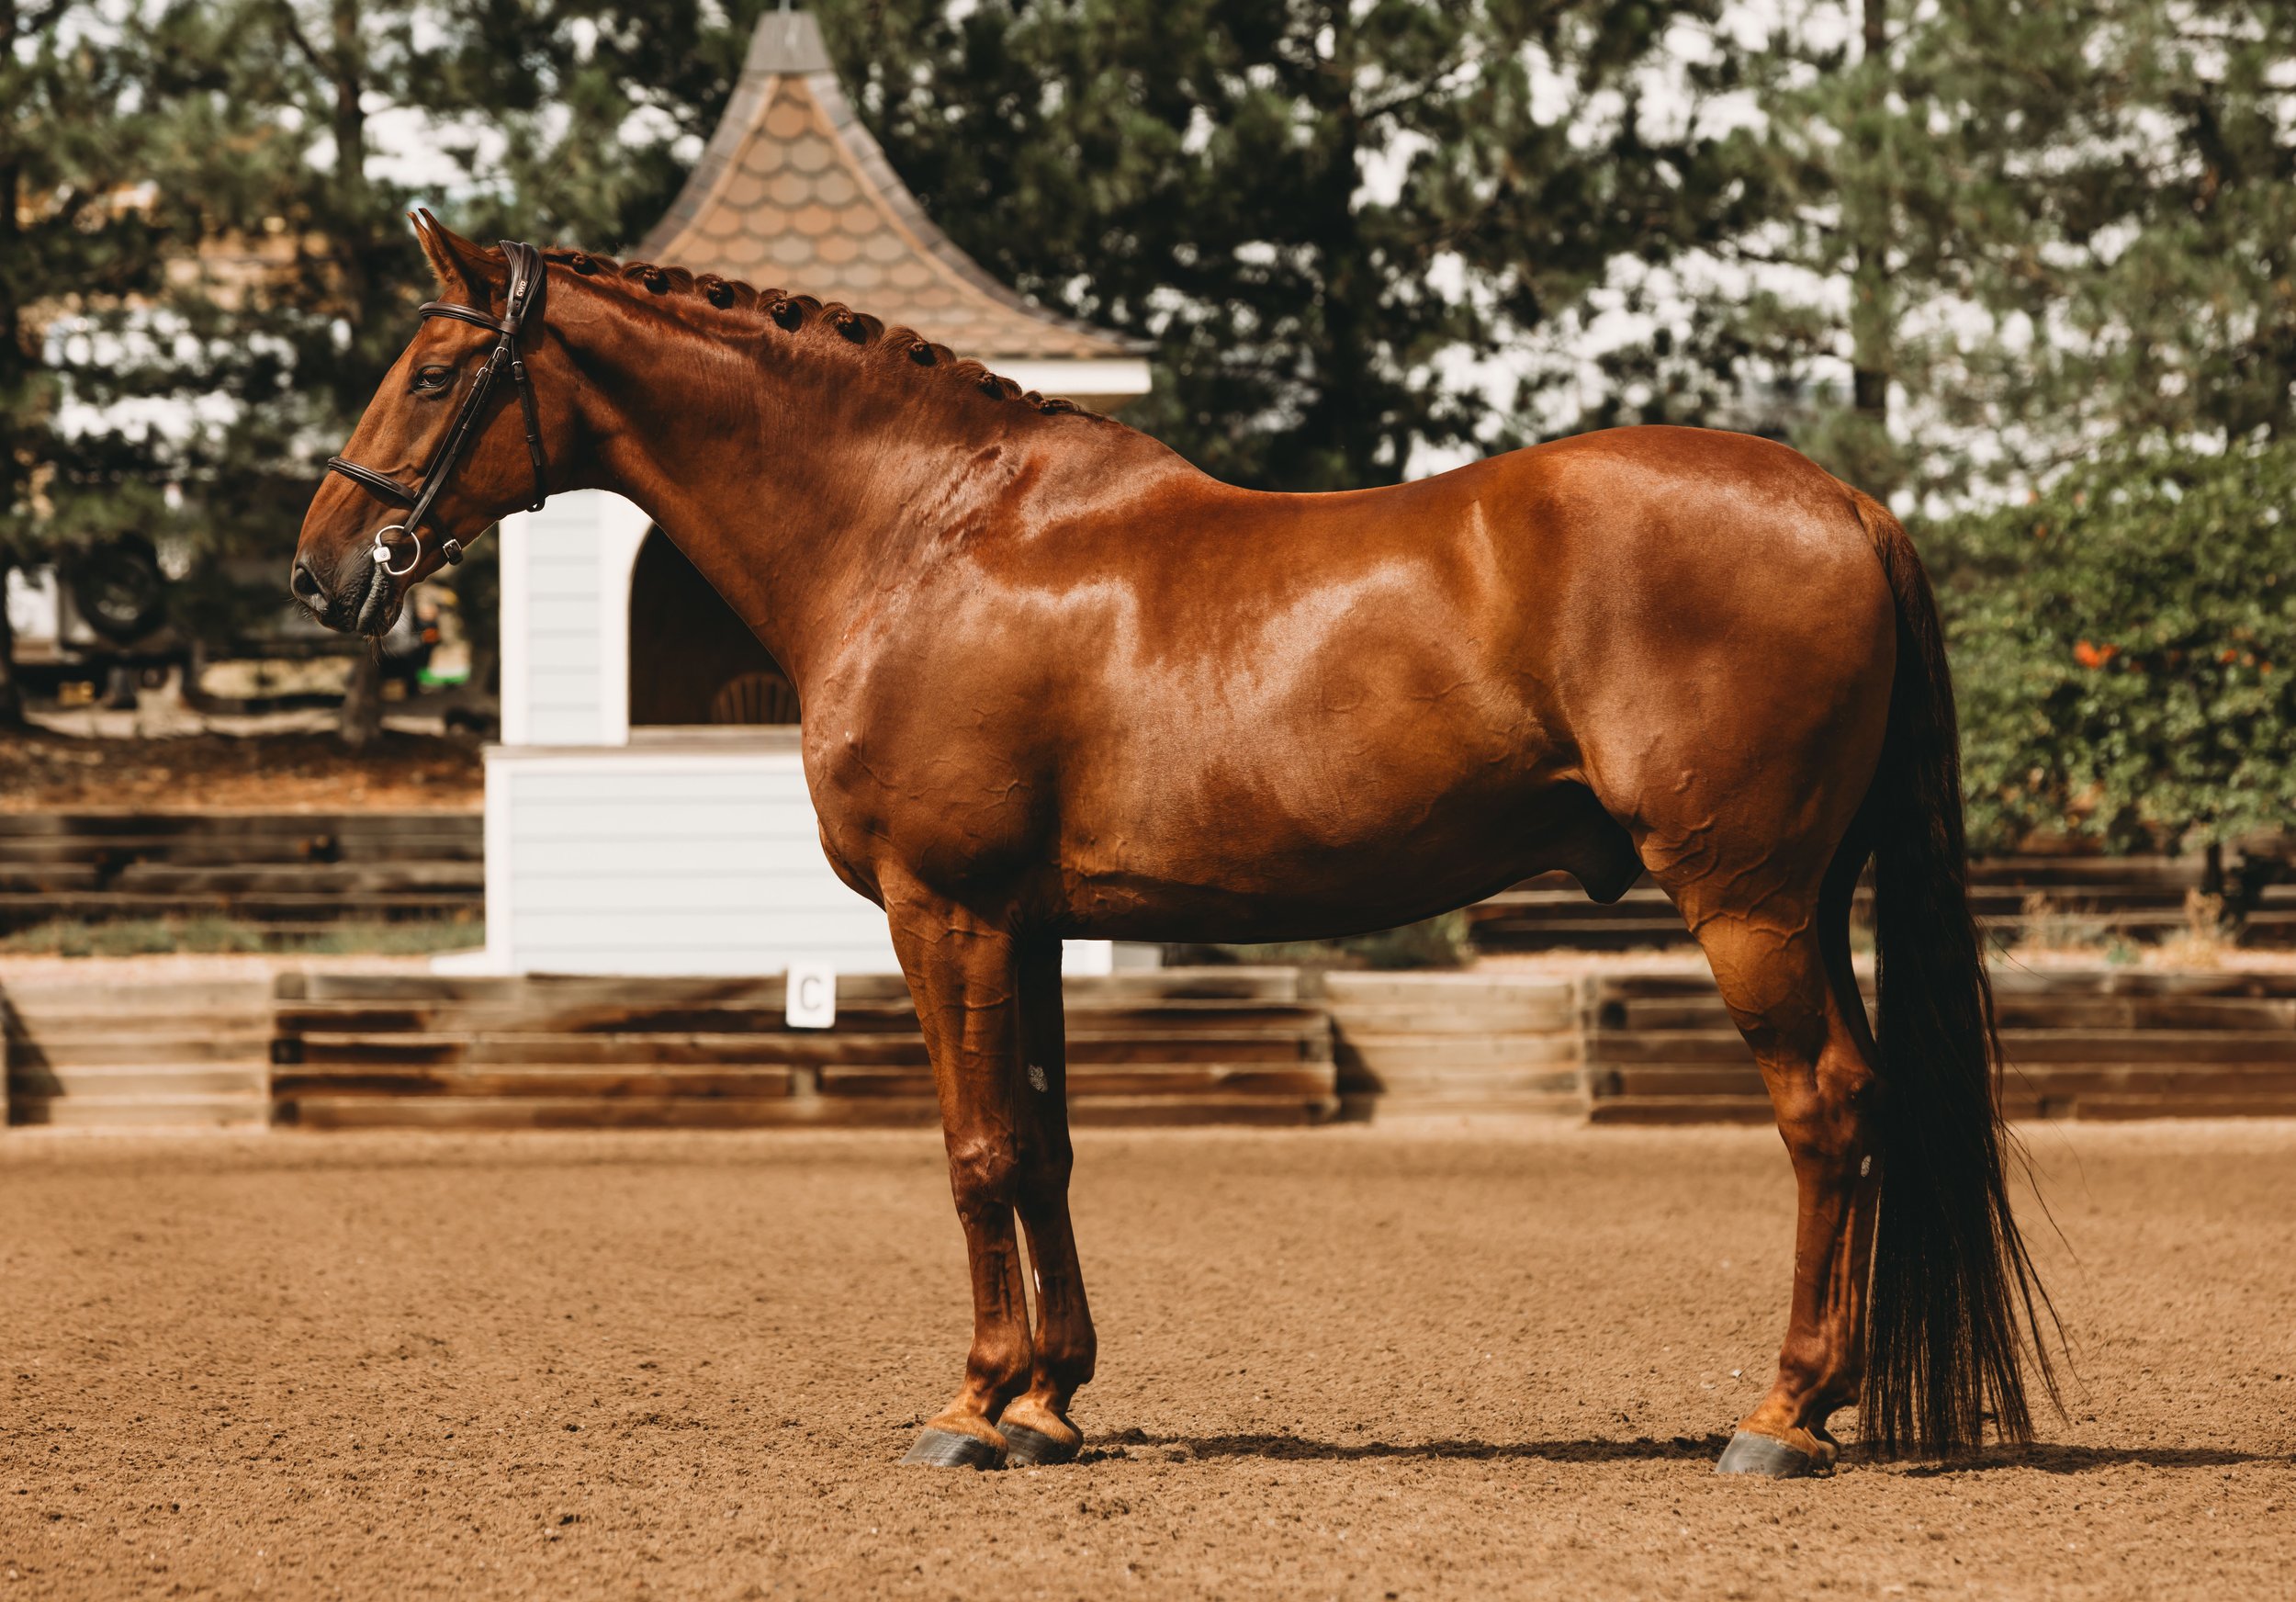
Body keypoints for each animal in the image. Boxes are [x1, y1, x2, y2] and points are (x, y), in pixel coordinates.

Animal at [291, 213, 2056, 1477]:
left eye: (437, 374)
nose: (325, 570)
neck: (929, 534)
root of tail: (1843, 503)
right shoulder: (1030, 921)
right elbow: (1047, 1143)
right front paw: (1051, 1400)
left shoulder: (943, 910)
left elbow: (976, 1151)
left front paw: (973, 1405)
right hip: (1814, 897)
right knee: (1871, 1103)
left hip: (1746, 899)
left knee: (1825, 1112)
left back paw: (1780, 1414)